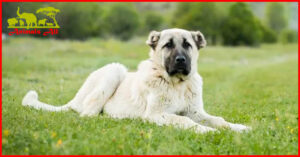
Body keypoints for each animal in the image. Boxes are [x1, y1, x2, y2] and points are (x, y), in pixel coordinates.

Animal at [22, 28, 250, 134]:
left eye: (187, 45)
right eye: (168, 45)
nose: (181, 60)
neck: (177, 84)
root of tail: (74, 99)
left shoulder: (195, 112)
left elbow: (218, 120)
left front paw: (238, 127)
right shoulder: (157, 114)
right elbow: (185, 121)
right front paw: (206, 131)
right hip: (114, 70)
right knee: (89, 115)